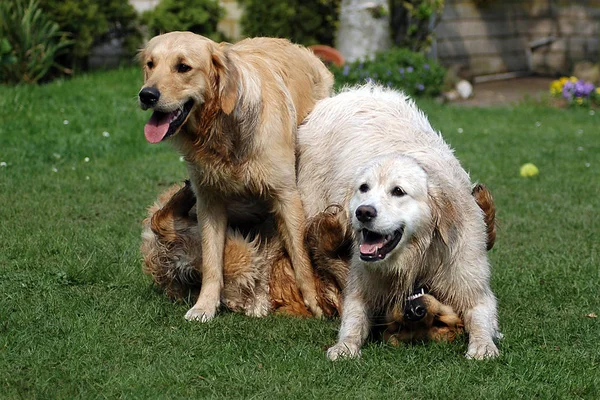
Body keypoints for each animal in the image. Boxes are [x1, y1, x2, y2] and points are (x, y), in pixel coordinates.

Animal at [137, 30, 332, 322]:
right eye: (150, 64)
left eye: (183, 67)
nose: (146, 95)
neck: (221, 130)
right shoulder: (210, 201)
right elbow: (211, 262)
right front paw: (205, 306)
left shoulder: (287, 196)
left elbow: (300, 257)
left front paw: (315, 302)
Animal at [296, 84, 502, 360]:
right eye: (364, 188)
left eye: (398, 191)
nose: (363, 212)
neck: (416, 256)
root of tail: (347, 94)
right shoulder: (363, 285)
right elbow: (353, 318)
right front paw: (345, 346)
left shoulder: (469, 282)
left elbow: (481, 317)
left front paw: (483, 346)